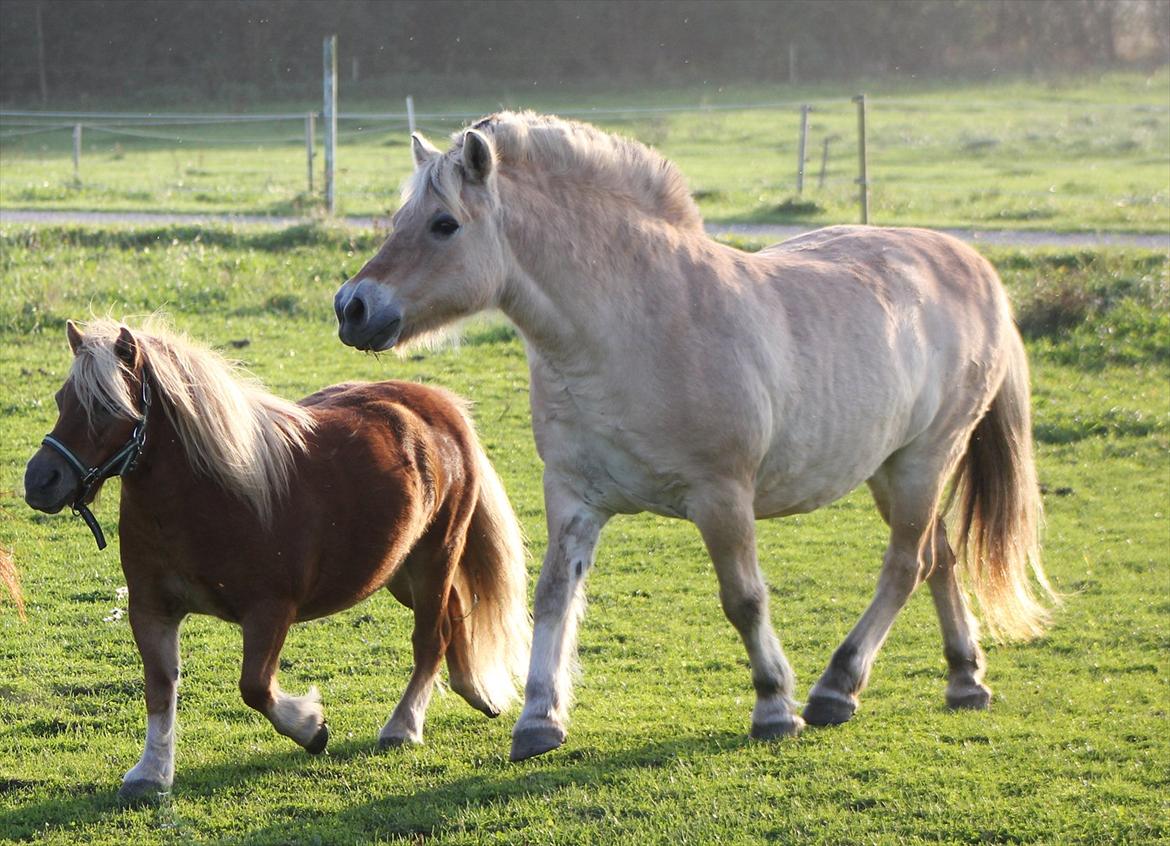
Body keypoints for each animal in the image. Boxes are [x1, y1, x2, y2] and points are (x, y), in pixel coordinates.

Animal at [22, 318, 531, 800]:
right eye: (62, 399)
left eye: (107, 408)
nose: (40, 480)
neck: (206, 496)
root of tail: (440, 404)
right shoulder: (151, 610)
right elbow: (160, 688)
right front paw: (151, 772)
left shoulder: (269, 612)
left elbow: (255, 687)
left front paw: (310, 727)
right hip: (399, 571)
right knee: (454, 614)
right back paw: (477, 692)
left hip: (434, 557)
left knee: (430, 637)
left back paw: (404, 726)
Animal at [334, 109, 1057, 762]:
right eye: (399, 220)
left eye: (444, 224)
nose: (352, 306)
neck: (637, 326)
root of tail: (972, 264)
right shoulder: (574, 497)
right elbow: (554, 597)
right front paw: (539, 719)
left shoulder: (721, 498)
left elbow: (743, 599)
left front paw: (774, 707)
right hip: (892, 466)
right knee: (939, 556)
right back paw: (963, 679)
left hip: (924, 460)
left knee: (906, 564)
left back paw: (835, 688)